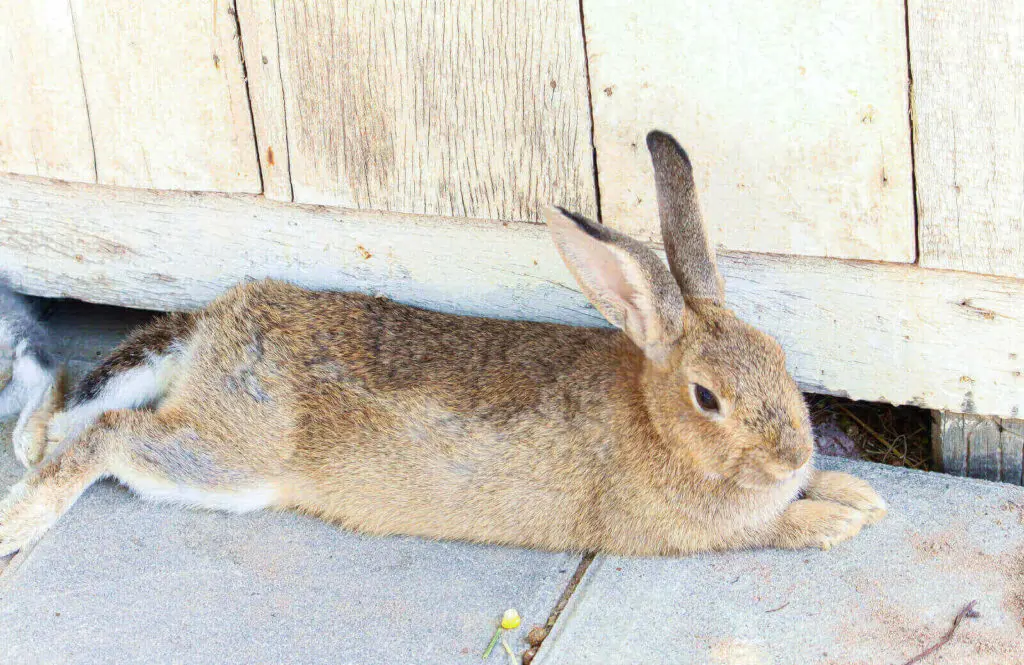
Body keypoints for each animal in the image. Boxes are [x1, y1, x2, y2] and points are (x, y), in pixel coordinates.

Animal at [0, 130, 886, 558]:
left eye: (779, 359)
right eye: (708, 397)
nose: (790, 454)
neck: (659, 424)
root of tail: (222, 322)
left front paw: (856, 493)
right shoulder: (698, 531)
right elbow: (769, 528)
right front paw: (834, 521)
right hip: (231, 461)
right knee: (115, 437)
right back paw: (21, 521)